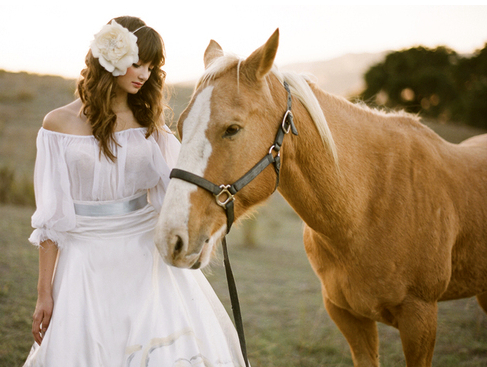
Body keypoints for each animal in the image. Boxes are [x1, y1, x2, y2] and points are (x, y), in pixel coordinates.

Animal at [155, 30, 487, 366]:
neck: (367, 209)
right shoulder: (347, 316)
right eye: (180, 126)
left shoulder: (420, 317)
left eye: (232, 129)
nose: (171, 239)